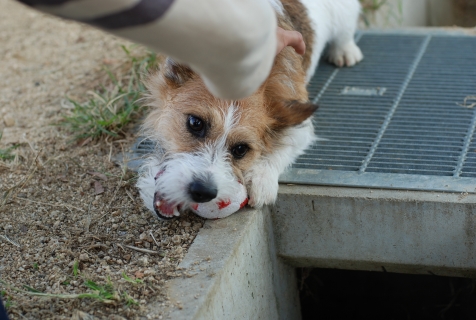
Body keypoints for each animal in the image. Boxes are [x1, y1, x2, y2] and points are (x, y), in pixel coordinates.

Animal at [136, 0, 362, 219]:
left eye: (240, 149)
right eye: (195, 123)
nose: (203, 192)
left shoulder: (299, 120)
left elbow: (284, 145)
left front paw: (261, 179)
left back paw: (345, 51)